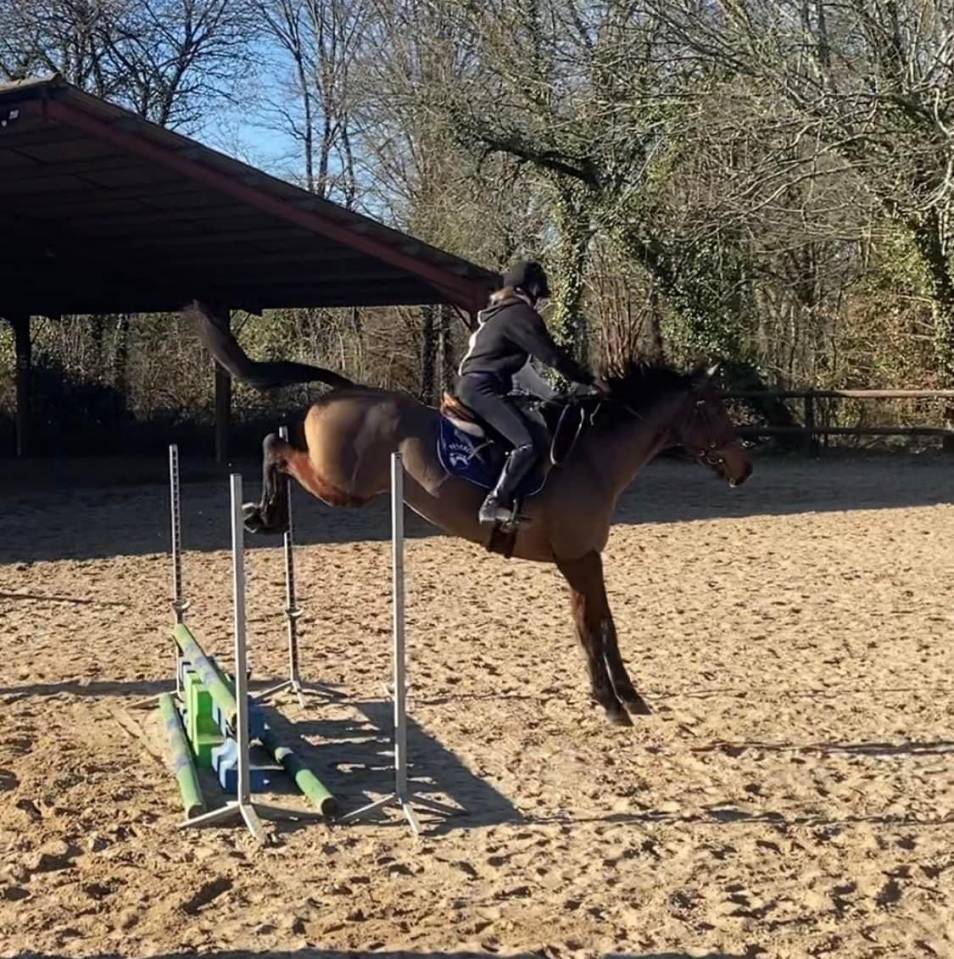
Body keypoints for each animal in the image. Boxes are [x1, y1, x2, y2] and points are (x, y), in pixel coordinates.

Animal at [188, 301, 752, 725]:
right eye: (711, 407)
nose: (744, 468)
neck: (592, 456)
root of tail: (347, 390)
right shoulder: (579, 559)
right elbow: (594, 628)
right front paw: (613, 704)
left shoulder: (586, 559)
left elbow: (602, 625)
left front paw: (625, 697)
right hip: (342, 485)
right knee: (275, 447)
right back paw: (263, 513)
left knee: (277, 446)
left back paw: (266, 515)